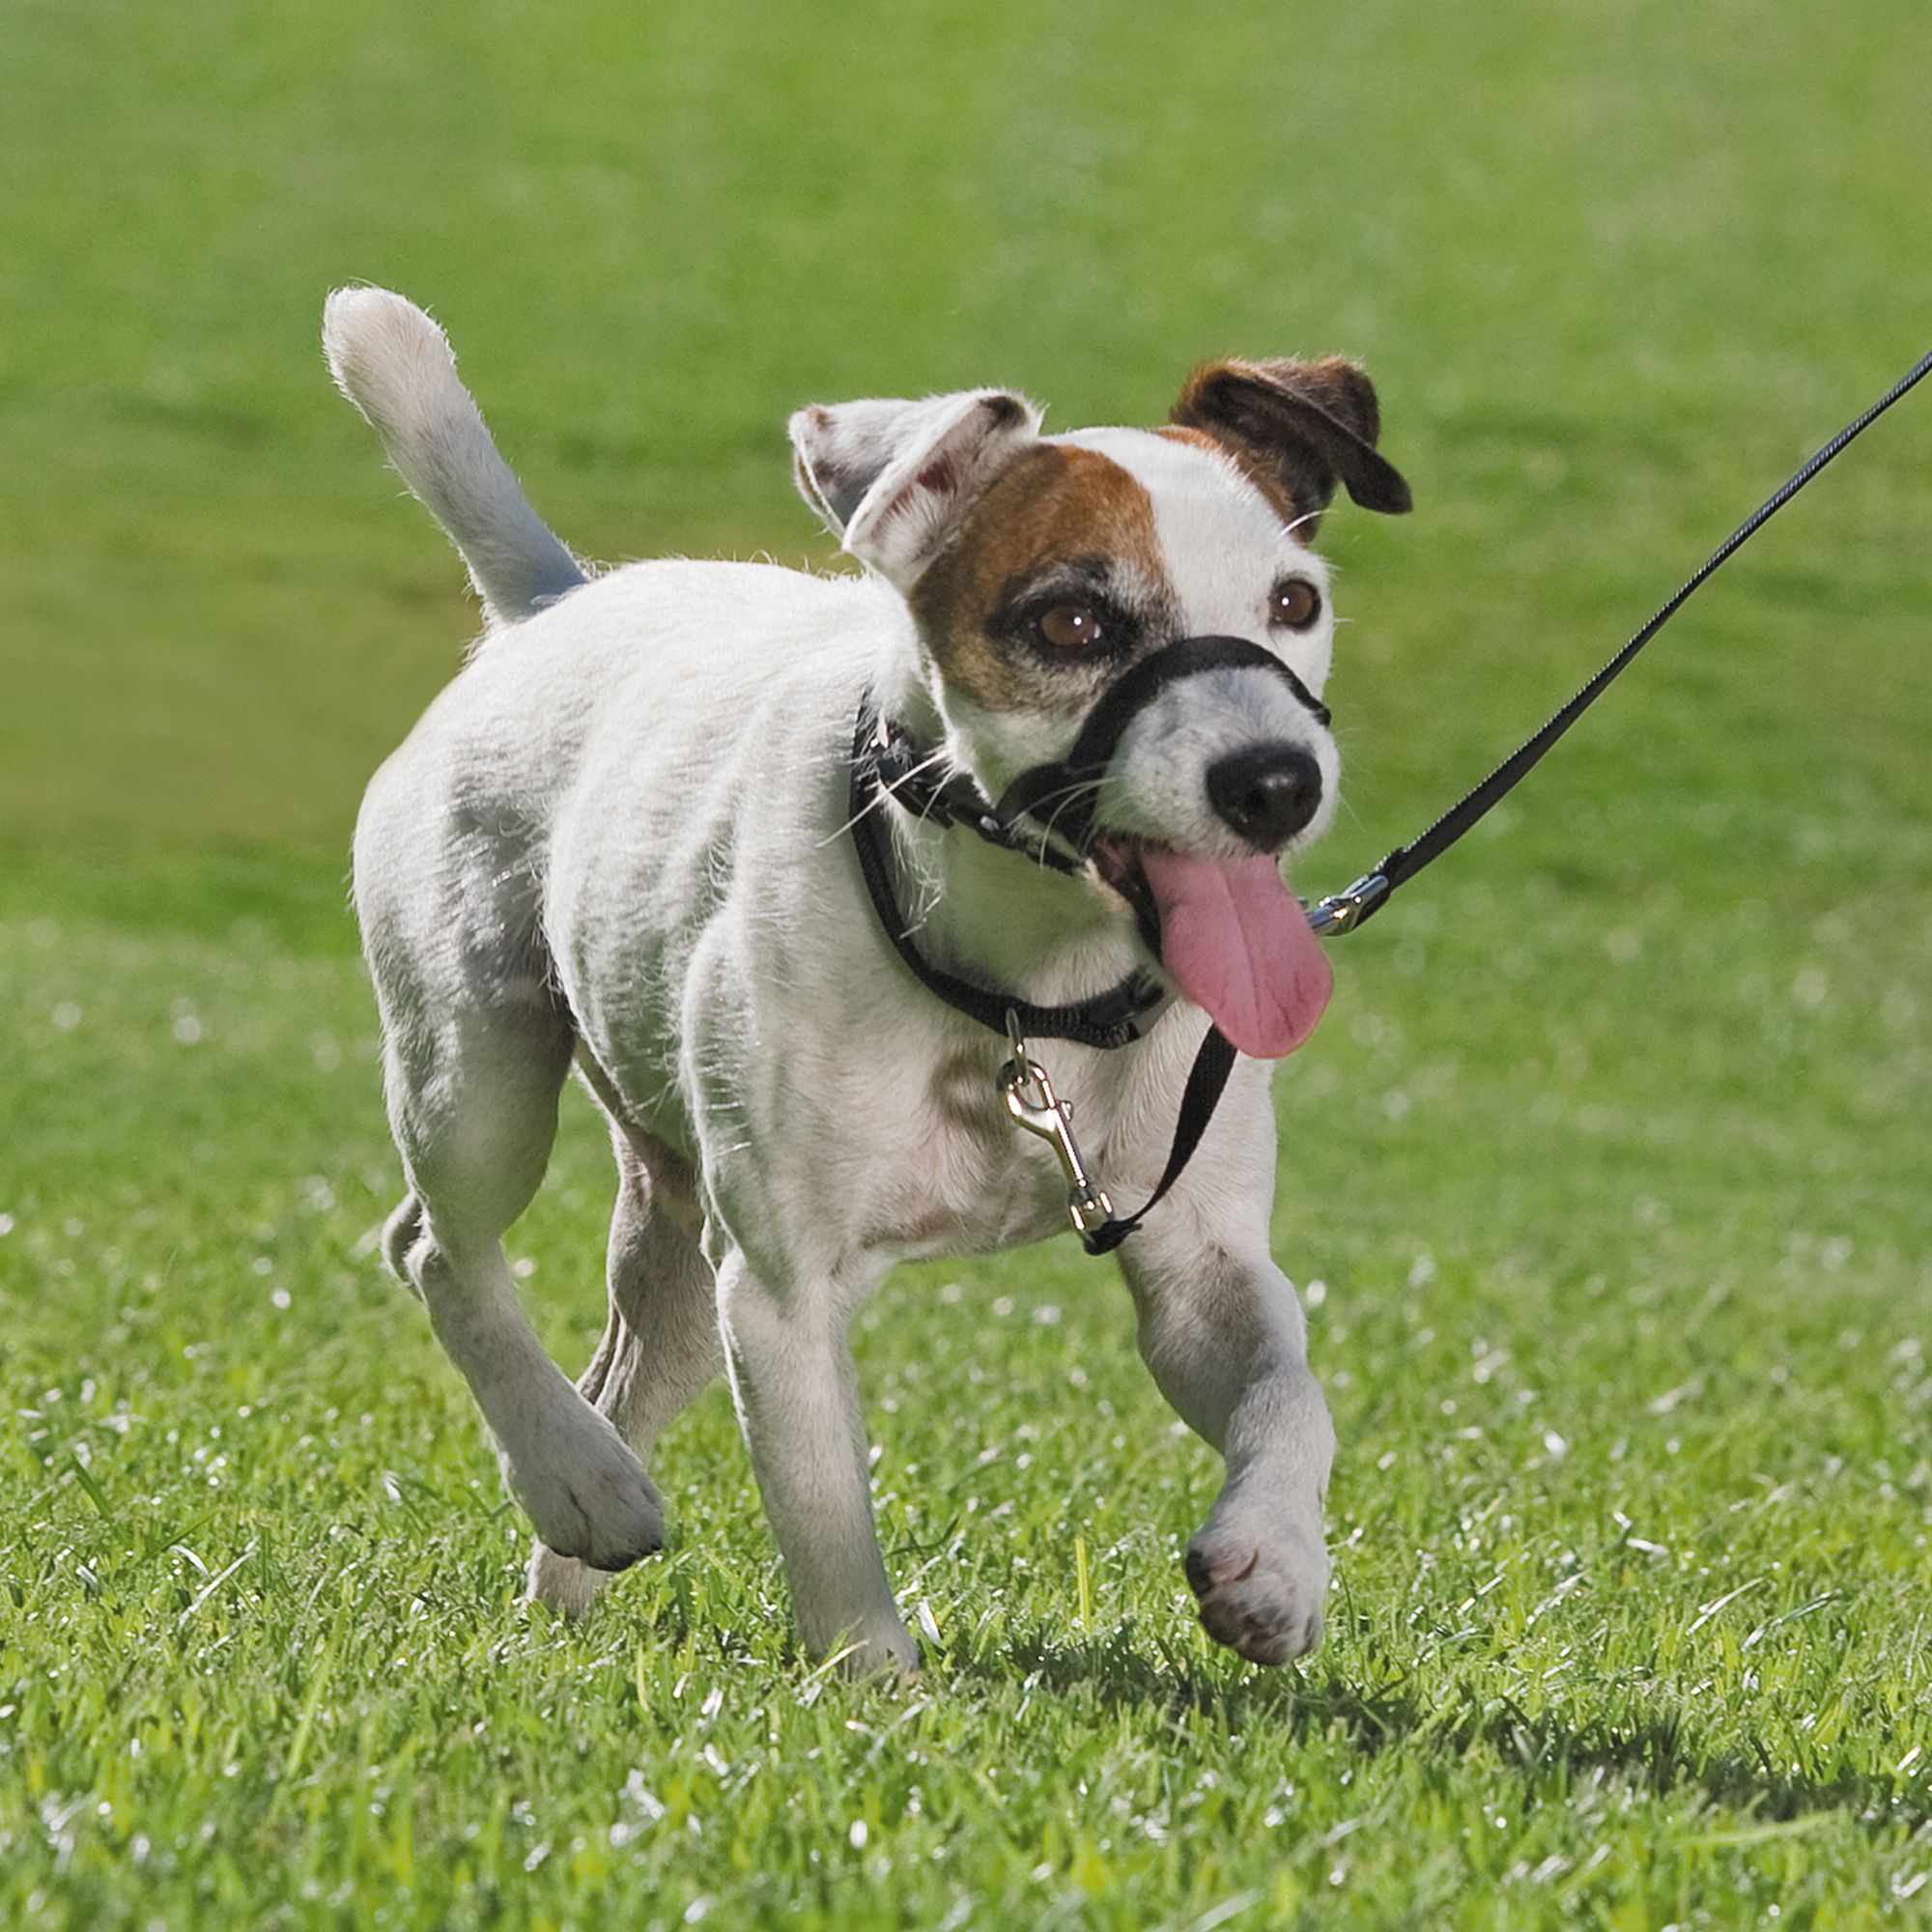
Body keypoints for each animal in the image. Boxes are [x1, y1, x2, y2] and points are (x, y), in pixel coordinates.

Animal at [325, 286, 1414, 1677]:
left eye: (1291, 600)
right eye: (1071, 622)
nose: (1275, 780)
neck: (1025, 997)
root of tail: (552, 604)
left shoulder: (1200, 1263)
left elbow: (1289, 1395)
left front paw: (1274, 1560)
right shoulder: (784, 1291)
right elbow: (829, 1511)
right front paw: (873, 1686)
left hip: (678, 1245)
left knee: (623, 1363)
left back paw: (573, 1553)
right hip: (480, 1078)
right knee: (437, 1248)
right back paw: (579, 1477)